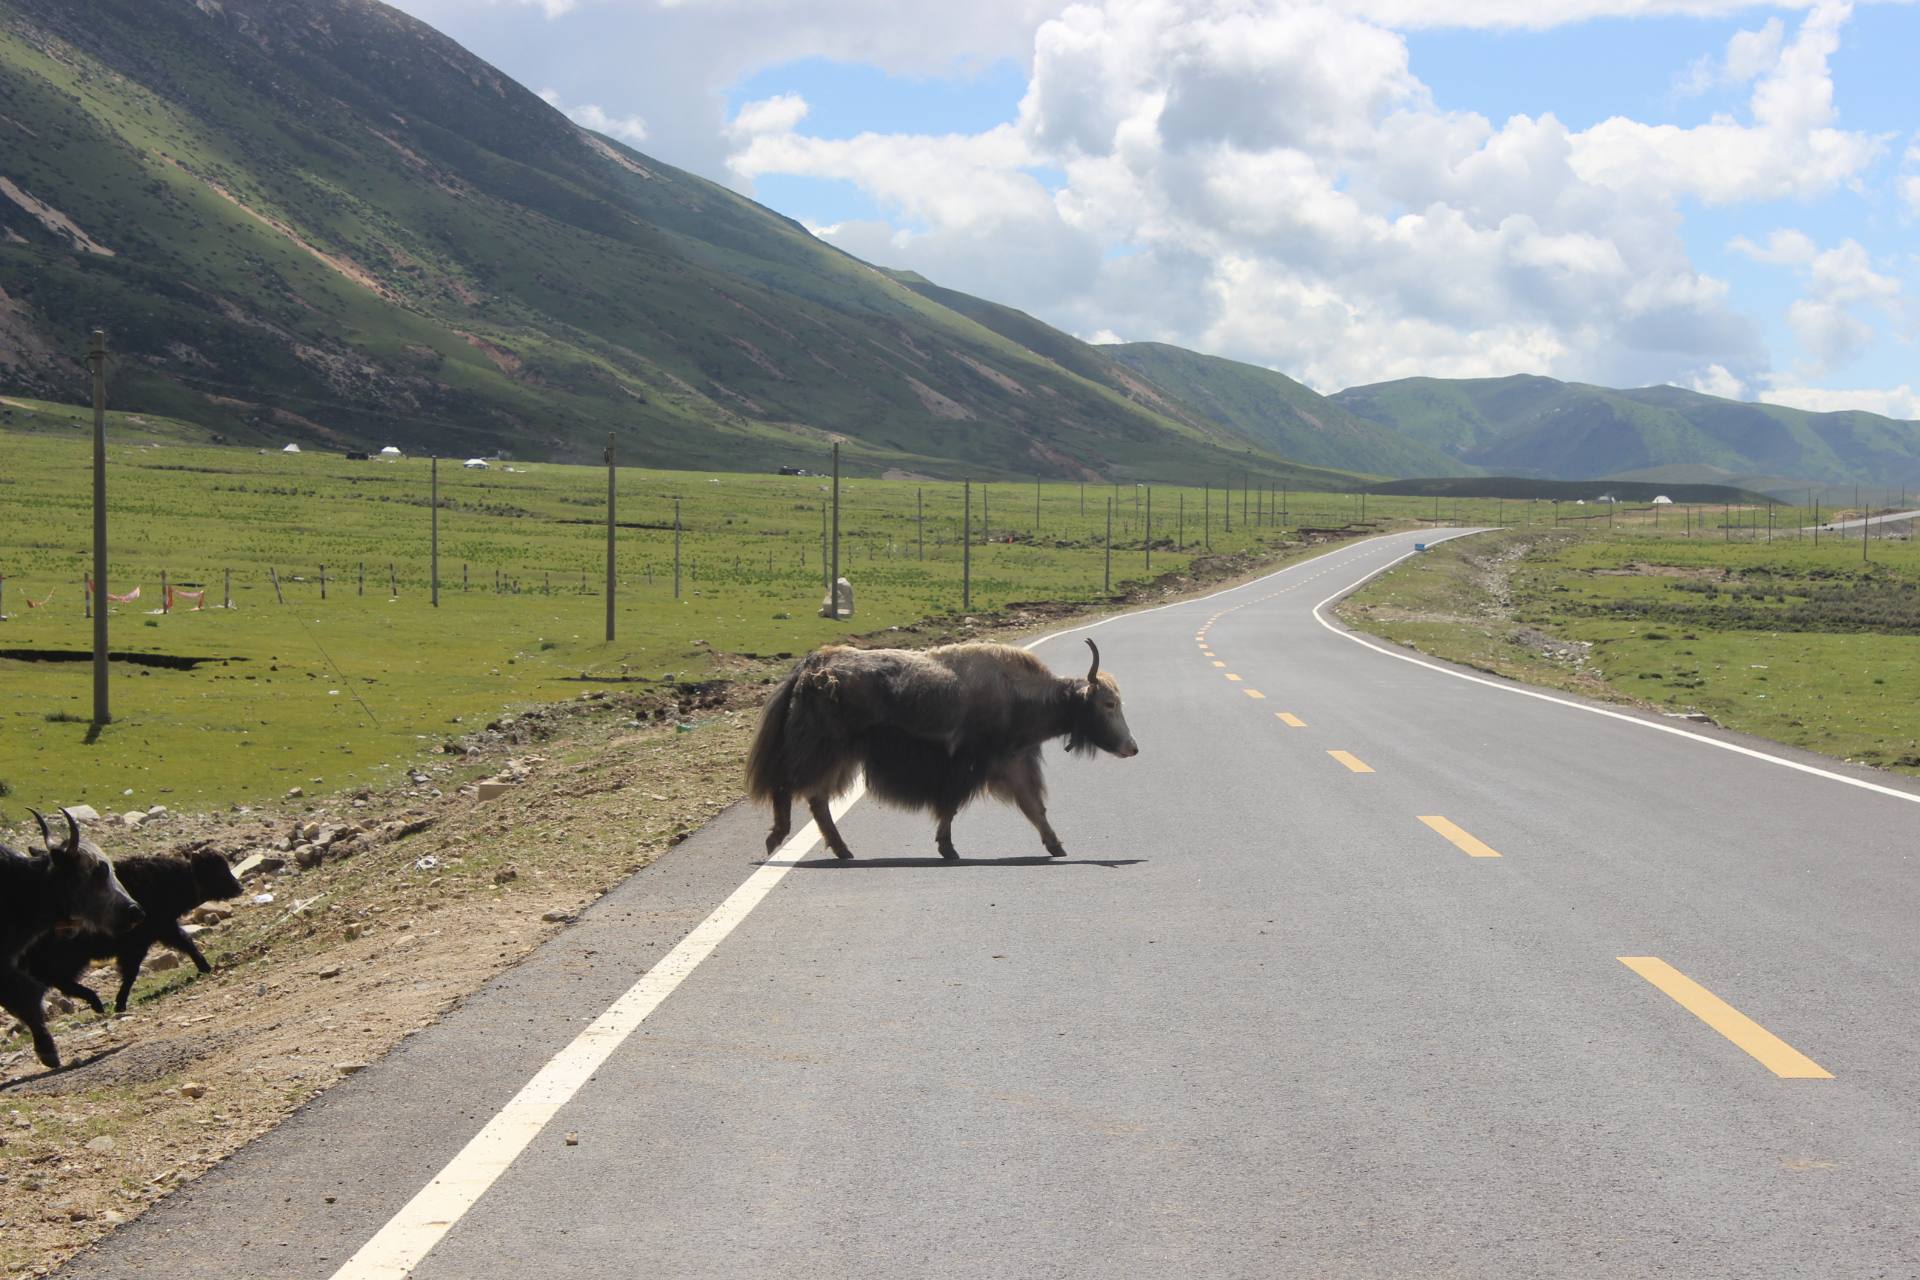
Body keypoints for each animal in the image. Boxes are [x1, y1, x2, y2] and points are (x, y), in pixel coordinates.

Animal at [29, 844, 243, 1013]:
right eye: (215, 870)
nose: (239, 887)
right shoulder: (139, 941)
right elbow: (132, 971)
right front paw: (120, 1003)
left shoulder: (163, 928)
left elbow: (186, 942)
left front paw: (205, 967)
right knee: (59, 981)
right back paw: (96, 1002)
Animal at [744, 640, 1136, 859]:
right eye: (1108, 704)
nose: (1132, 747)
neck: (1016, 695)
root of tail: (811, 665)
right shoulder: (967, 766)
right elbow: (950, 806)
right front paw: (948, 849)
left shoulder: (1011, 762)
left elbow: (1033, 807)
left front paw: (1056, 846)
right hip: (824, 749)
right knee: (789, 785)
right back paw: (776, 838)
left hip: (840, 756)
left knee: (816, 798)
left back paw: (842, 850)